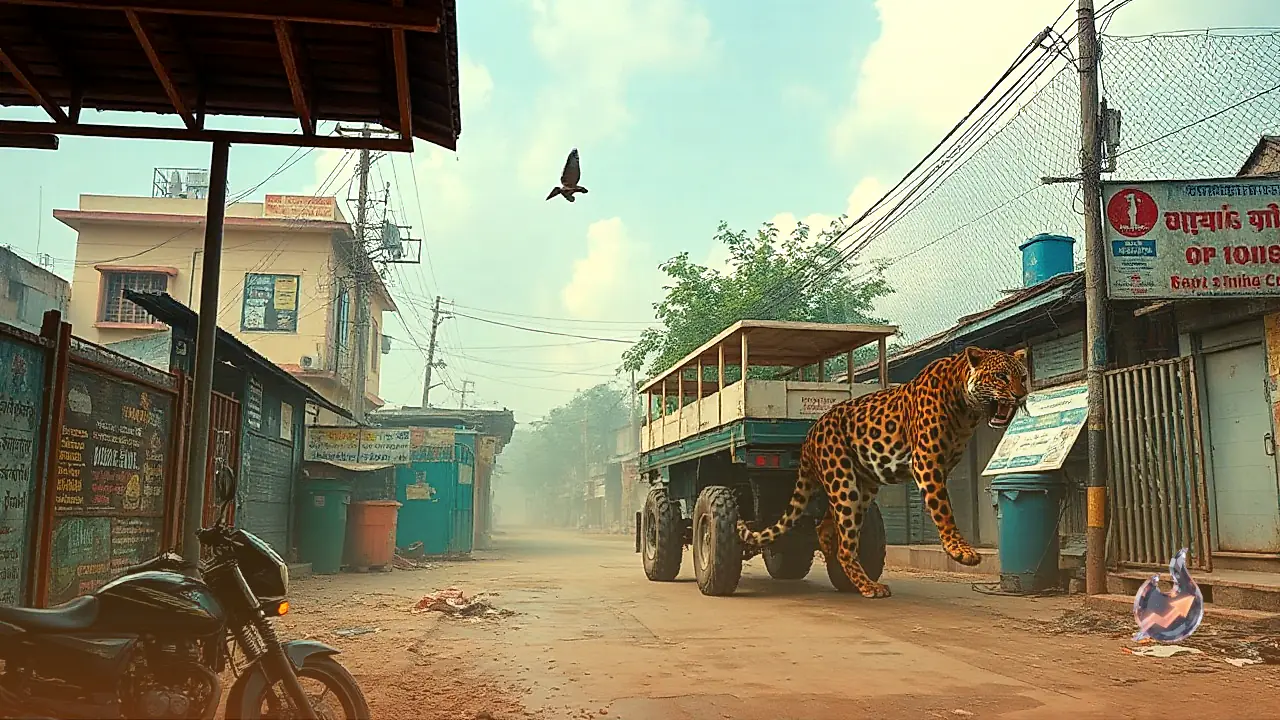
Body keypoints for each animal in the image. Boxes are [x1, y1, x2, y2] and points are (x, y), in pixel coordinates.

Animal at [737, 346, 1029, 598]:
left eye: (1023, 377)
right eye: (1001, 376)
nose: (1020, 395)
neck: (965, 409)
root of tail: (810, 436)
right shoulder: (927, 463)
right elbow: (943, 508)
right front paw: (959, 550)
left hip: (860, 487)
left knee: (827, 525)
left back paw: (834, 552)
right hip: (844, 483)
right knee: (845, 546)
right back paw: (867, 585)